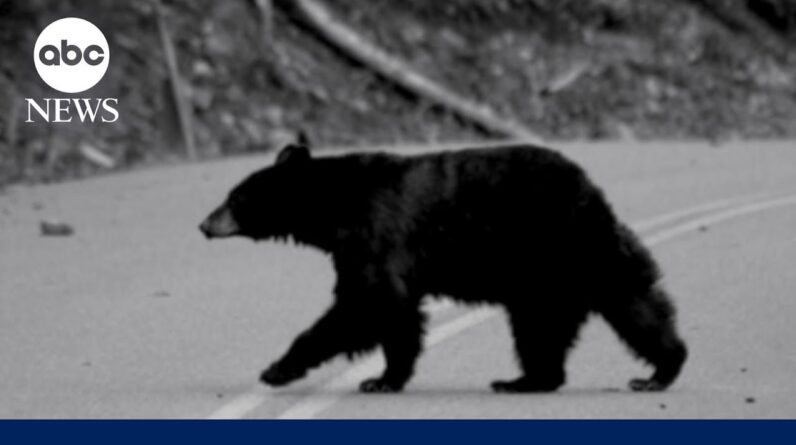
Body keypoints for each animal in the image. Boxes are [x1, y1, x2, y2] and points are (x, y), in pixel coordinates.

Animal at [199, 143, 687, 393]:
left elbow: (367, 304)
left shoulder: (377, 235)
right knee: (616, 308)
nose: (204, 224)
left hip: (561, 251)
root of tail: (592, 192)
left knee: (601, 312)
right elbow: (393, 312)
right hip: (569, 266)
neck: (336, 206)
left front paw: (281, 369)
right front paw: (388, 376)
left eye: (235, 198)